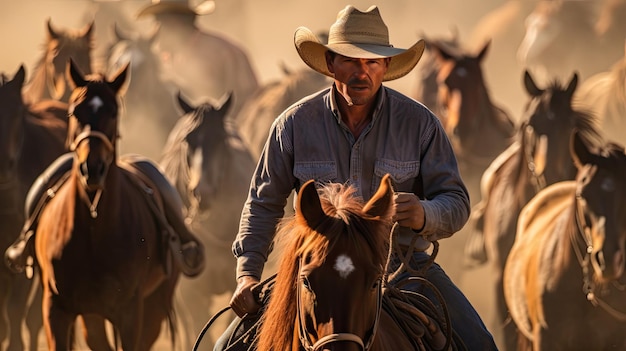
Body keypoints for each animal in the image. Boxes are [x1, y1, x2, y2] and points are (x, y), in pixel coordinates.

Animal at [33, 60, 179, 351]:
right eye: (75, 111)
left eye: (113, 112)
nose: (92, 168)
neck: (93, 231)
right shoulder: (56, 309)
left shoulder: (130, 313)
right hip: (92, 316)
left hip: (153, 309)